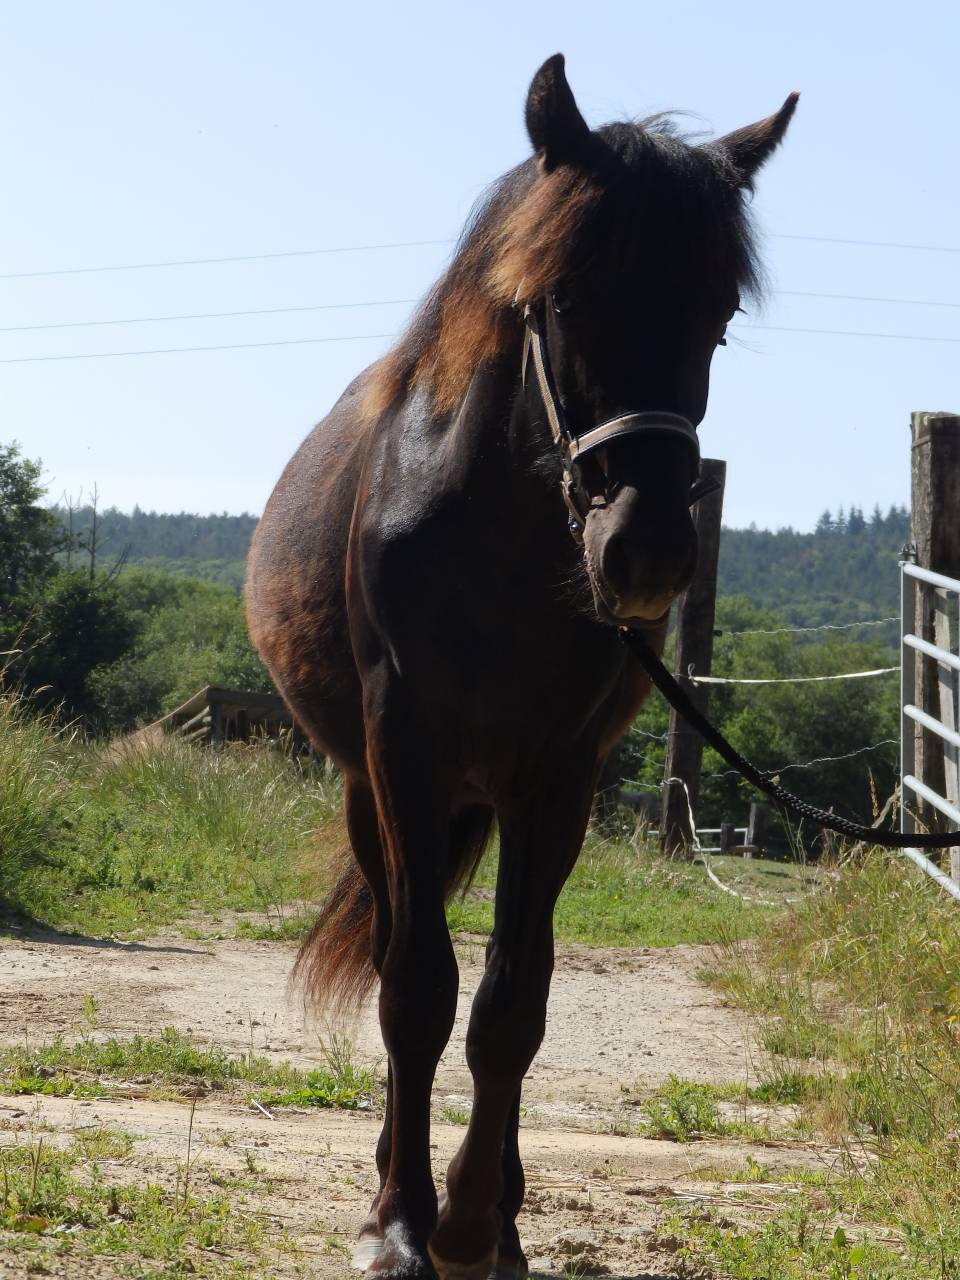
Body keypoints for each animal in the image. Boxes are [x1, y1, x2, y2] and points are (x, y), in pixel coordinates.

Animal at [246, 54, 796, 1280]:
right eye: (564, 299)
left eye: (719, 317)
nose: (647, 550)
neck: (497, 538)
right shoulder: (404, 759)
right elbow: (416, 988)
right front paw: (401, 1224)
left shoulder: (557, 778)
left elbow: (514, 1002)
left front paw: (474, 1223)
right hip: (374, 795)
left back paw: (498, 1202)